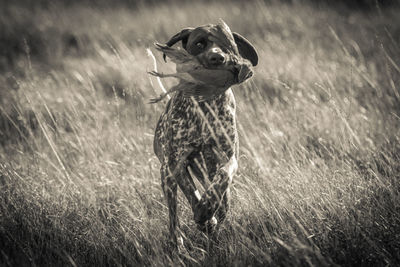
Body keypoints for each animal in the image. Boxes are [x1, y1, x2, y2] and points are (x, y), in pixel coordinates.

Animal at [152, 22, 258, 250]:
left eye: (227, 44)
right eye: (199, 43)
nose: (217, 58)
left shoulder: (228, 157)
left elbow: (223, 178)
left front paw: (209, 210)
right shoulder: (174, 165)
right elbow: (189, 198)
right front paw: (202, 217)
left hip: (205, 169)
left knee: (220, 194)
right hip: (171, 173)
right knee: (177, 209)